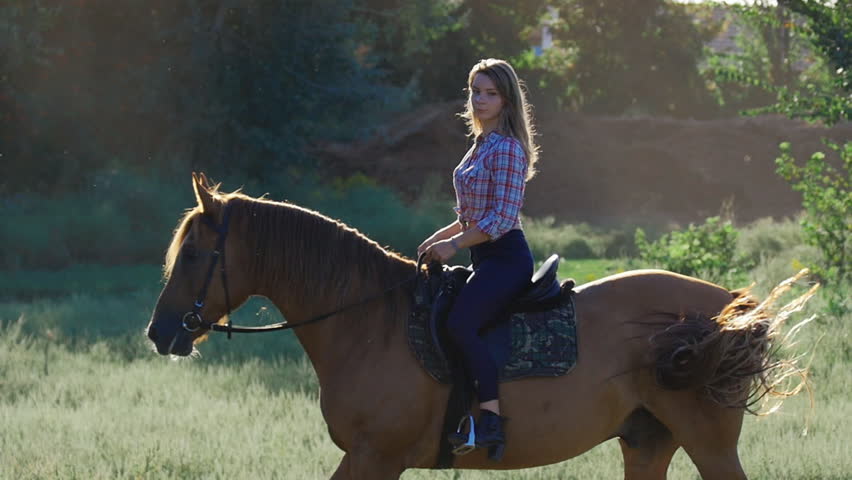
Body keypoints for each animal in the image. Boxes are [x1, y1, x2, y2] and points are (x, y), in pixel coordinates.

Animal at [150, 174, 816, 478]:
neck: (368, 323)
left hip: (708, 442)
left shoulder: (375, 456)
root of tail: (728, 309)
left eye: (193, 254)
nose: (159, 332)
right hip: (647, 441)